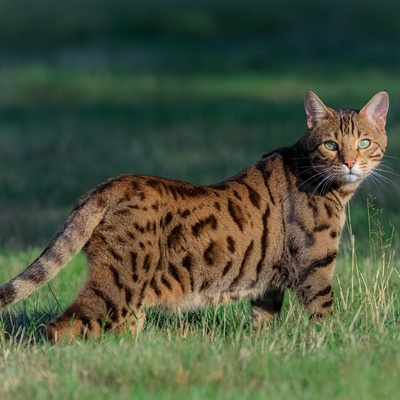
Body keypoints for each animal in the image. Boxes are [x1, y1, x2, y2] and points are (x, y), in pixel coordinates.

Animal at [0, 90, 390, 340]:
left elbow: (262, 323)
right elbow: (325, 316)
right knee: (63, 326)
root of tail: (111, 183)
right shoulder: (314, 267)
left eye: (364, 143)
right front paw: (338, 343)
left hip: (130, 296)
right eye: (331, 145)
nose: (350, 162)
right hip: (120, 284)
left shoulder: (268, 284)